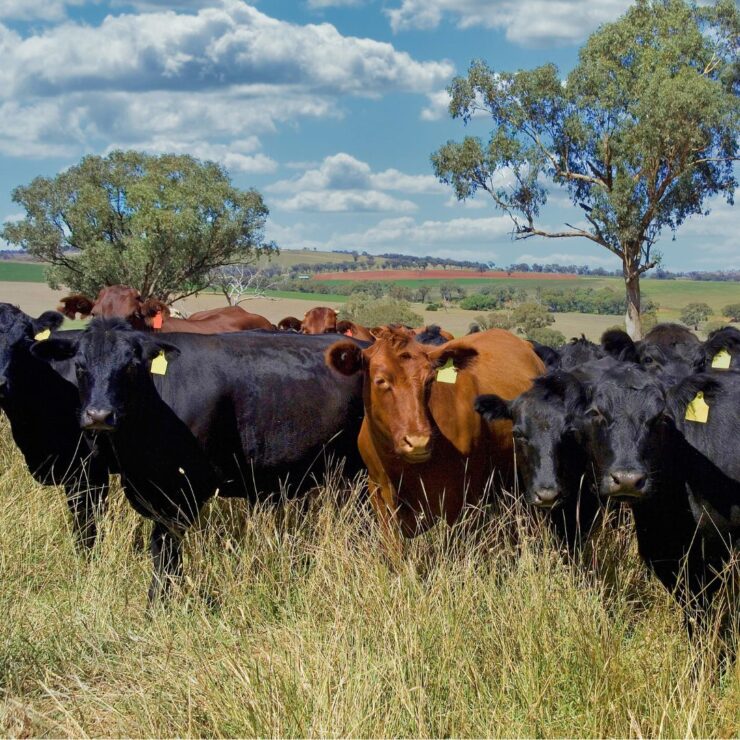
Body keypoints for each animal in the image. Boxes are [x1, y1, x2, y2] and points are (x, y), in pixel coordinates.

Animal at [33, 320, 366, 600]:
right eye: (79, 367)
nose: (99, 415)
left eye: (130, 367)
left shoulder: (185, 490)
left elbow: (165, 548)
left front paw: (159, 601)